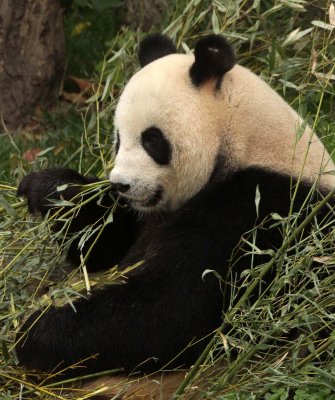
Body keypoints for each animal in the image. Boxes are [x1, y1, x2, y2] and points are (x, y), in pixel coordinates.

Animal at [15, 34, 335, 396]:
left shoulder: (262, 211)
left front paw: (36, 333)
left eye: (152, 141)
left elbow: (175, 310)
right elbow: (103, 243)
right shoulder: (148, 213)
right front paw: (48, 188)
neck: (243, 138)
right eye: (118, 139)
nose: (121, 185)